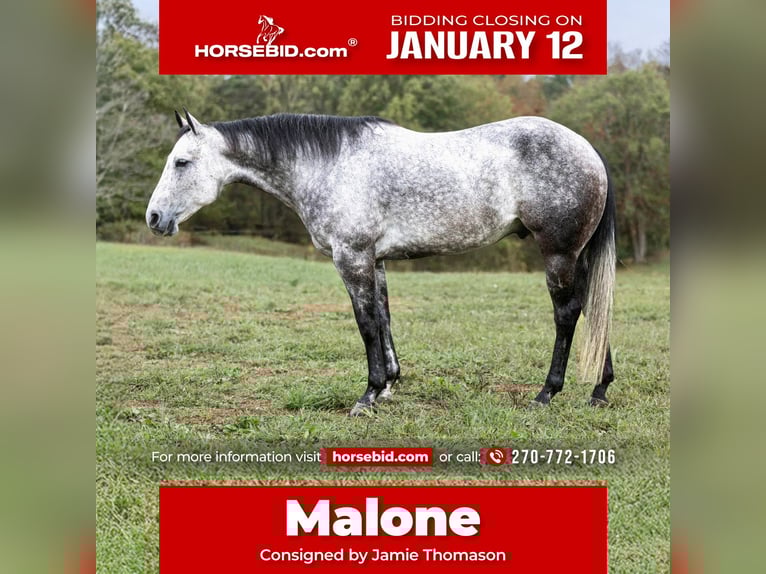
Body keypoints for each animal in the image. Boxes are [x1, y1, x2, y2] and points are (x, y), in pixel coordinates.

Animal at [146, 109, 616, 416]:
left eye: (182, 162)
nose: (154, 217)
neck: (329, 165)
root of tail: (589, 150)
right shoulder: (376, 261)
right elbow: (385, 319)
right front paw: (389, 384)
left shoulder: (351, 257)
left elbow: (366, 323)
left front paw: (368, 396)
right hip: (576, 257)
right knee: (593, 310)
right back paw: (599, 389)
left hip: (558, 253)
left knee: (567, 314)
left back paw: (547, 393)